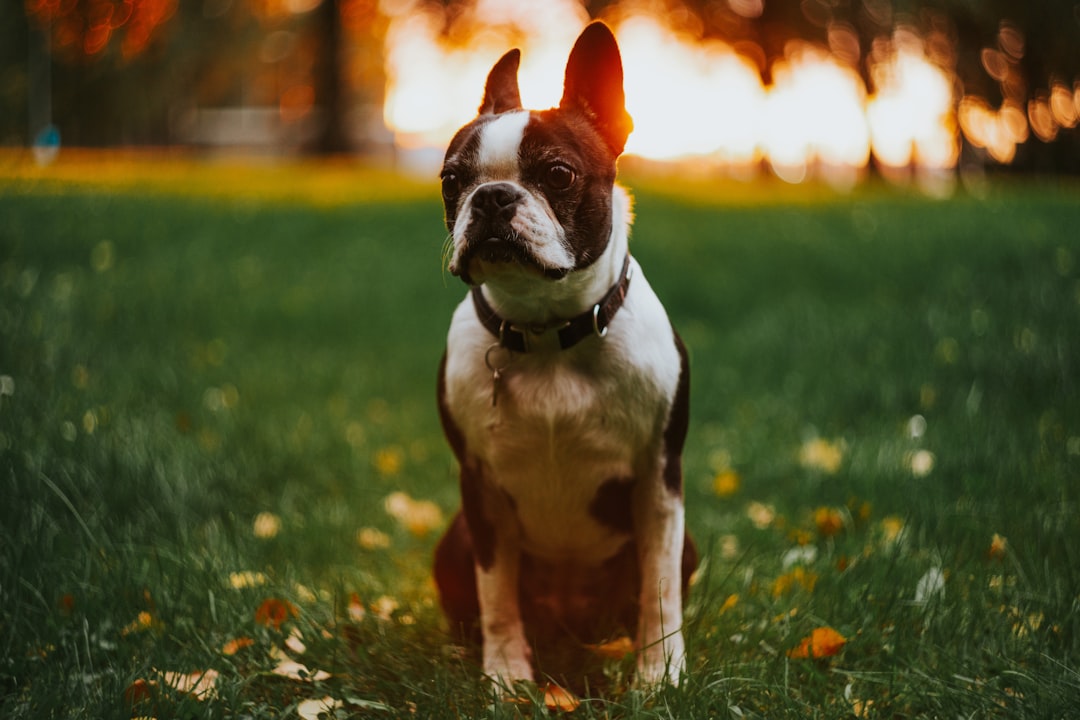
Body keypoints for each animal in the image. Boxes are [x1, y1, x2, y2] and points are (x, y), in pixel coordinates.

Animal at [432, 21, 695, 686]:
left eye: (557, 175)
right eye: (451, 181)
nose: (492, 197)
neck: (547, 329)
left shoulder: (659, 481)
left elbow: (659, 589)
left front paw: (659, 675)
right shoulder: (480, 489)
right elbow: (496, 591)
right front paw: (506, 675)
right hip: (454, 539)